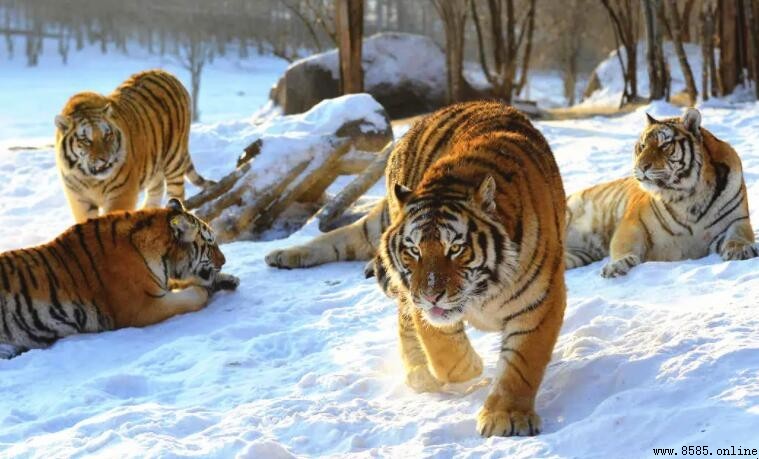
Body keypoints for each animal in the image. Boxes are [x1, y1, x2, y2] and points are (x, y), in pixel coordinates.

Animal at [0, 199, 238, 359]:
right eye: (210, 244)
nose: (224, 260)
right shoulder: (143, 307)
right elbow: (193, 296)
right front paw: (206, 289)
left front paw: (228, 279)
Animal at [54, 69, 213, 224]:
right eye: (86, 140)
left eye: (107, 135)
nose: (105, 159)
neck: (91, 180)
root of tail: (167, 73)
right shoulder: (80, 200)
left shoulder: (120, 194)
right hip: (154, 163)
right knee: (157, 189)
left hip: (174, 159)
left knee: (177, 193)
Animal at [266, 101, 567, 437]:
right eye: (414, 250)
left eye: (456, 248)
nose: (432, 295)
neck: (484, 291)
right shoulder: (421, 302)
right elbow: (443, 348)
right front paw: (469, 368)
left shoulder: (539, 301)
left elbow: (522, 365)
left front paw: (507, 416)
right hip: (387, 235)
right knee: (349, 239)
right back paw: (281, 254)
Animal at [565, 108, 758, 277]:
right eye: (642, 146)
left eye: (664, 145)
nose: (640, 167)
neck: (690, 196)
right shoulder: (632, 223)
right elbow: (624, 245)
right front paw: (616, 266)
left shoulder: (737, 220)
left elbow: (738, 236)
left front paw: (741, 250)